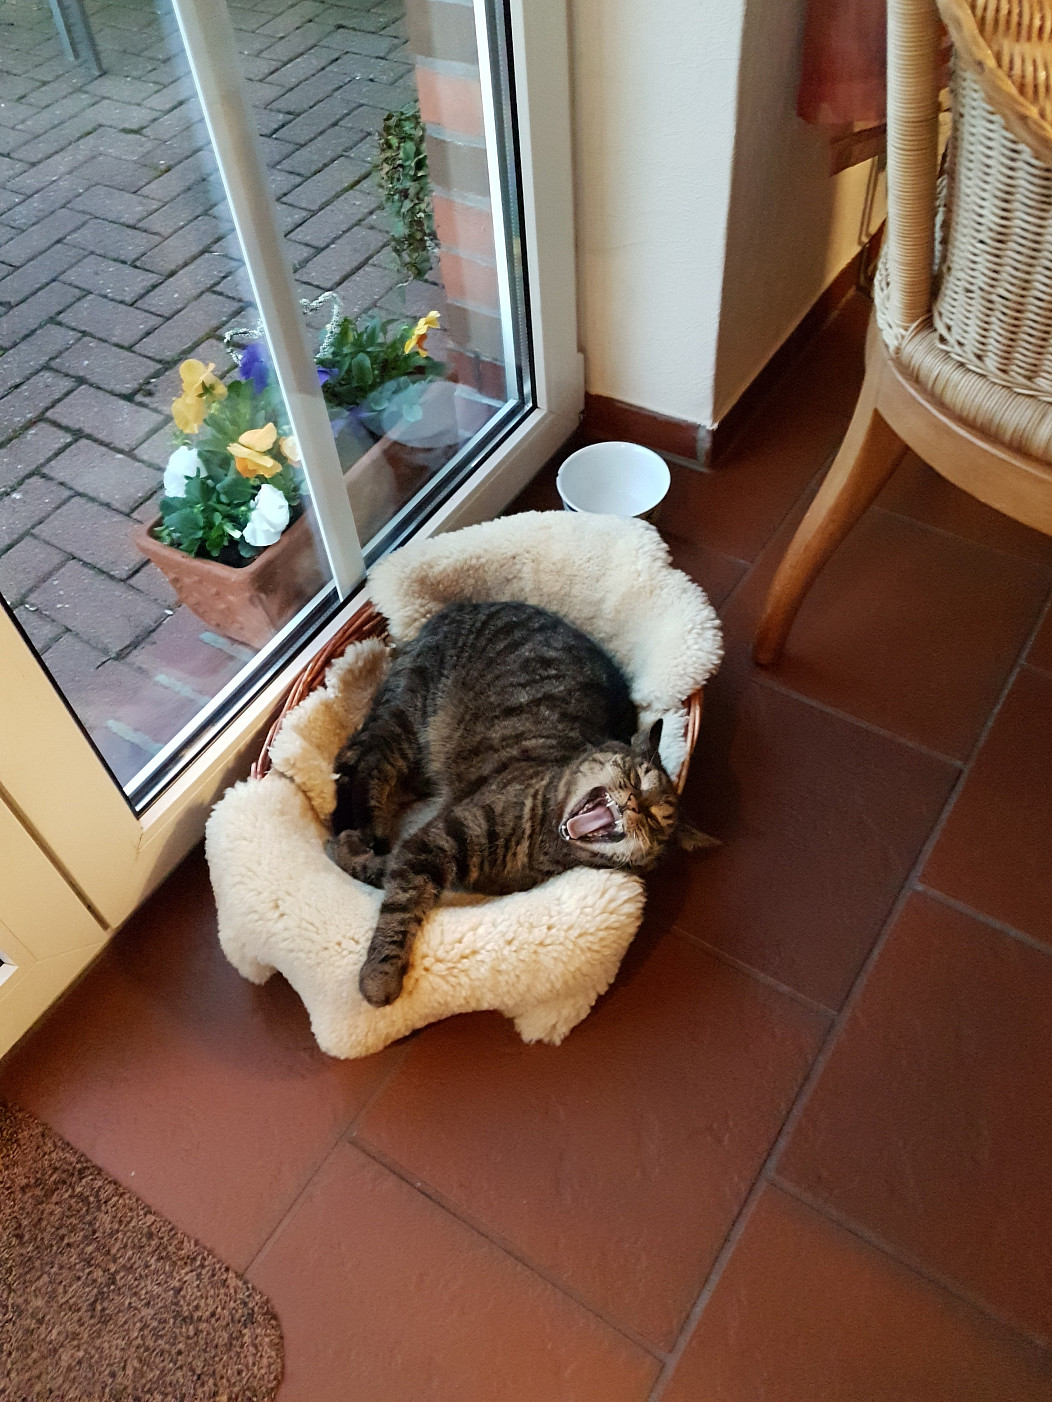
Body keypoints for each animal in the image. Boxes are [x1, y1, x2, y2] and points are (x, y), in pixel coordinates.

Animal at [327, 600, 683, 1008]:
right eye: (636, 777)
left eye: (655, 821)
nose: (635, 803)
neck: (541, 840)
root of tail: (457, 607)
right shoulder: (434, 841)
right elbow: (400, 904)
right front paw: (380, 976)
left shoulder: (436, 860)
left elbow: (391, 878)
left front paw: (353, 854)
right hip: (407, 720)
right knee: (364, 764)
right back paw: (362, 826)